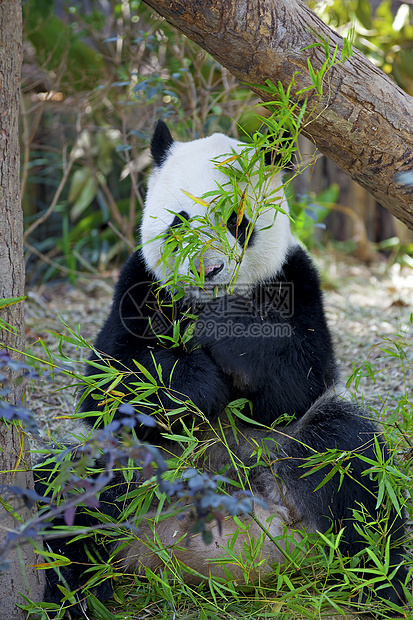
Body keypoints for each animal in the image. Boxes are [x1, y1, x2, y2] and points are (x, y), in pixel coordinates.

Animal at [37, 121, 408, 616]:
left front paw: (223, 331)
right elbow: (109, 383)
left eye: (237, 221)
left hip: (293, 457)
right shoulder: (138, 285)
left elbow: (301, 381)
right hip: (134, 472)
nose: (207, 270)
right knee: (69, 493)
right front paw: (196, 384)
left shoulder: (295, 278)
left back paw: (384, 586)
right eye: (179, 222)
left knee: (350, 458)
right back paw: (75, 592)